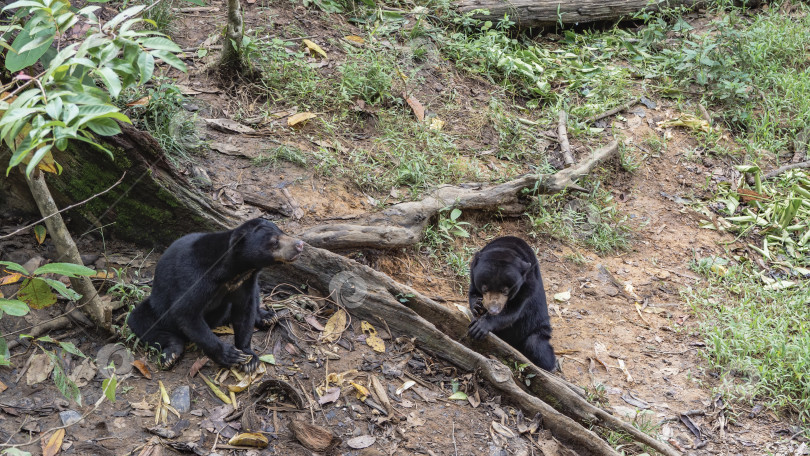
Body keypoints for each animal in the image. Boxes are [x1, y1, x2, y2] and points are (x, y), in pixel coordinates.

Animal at [126, 219, 304, 372]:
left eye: (283, 232)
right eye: (274, 242)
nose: (300, 245)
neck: (238, 271)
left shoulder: (246, 283)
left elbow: (245, 310)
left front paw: (248, 358)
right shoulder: (199, 278)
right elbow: (185, 311)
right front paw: (230, 355)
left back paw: (268, 317)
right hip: (156, 307)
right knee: (140, 320)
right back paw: (171, 354)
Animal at [468, 237, 556, 372]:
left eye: (505, 291)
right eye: (484, 288)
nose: (493, 310)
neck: (507, 248)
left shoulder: (527, 287)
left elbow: (512, 313)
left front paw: (480, 327)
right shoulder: (473, 274)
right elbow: (472, 292)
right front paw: (477, 306)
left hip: (537, 329)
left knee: (537, 346)